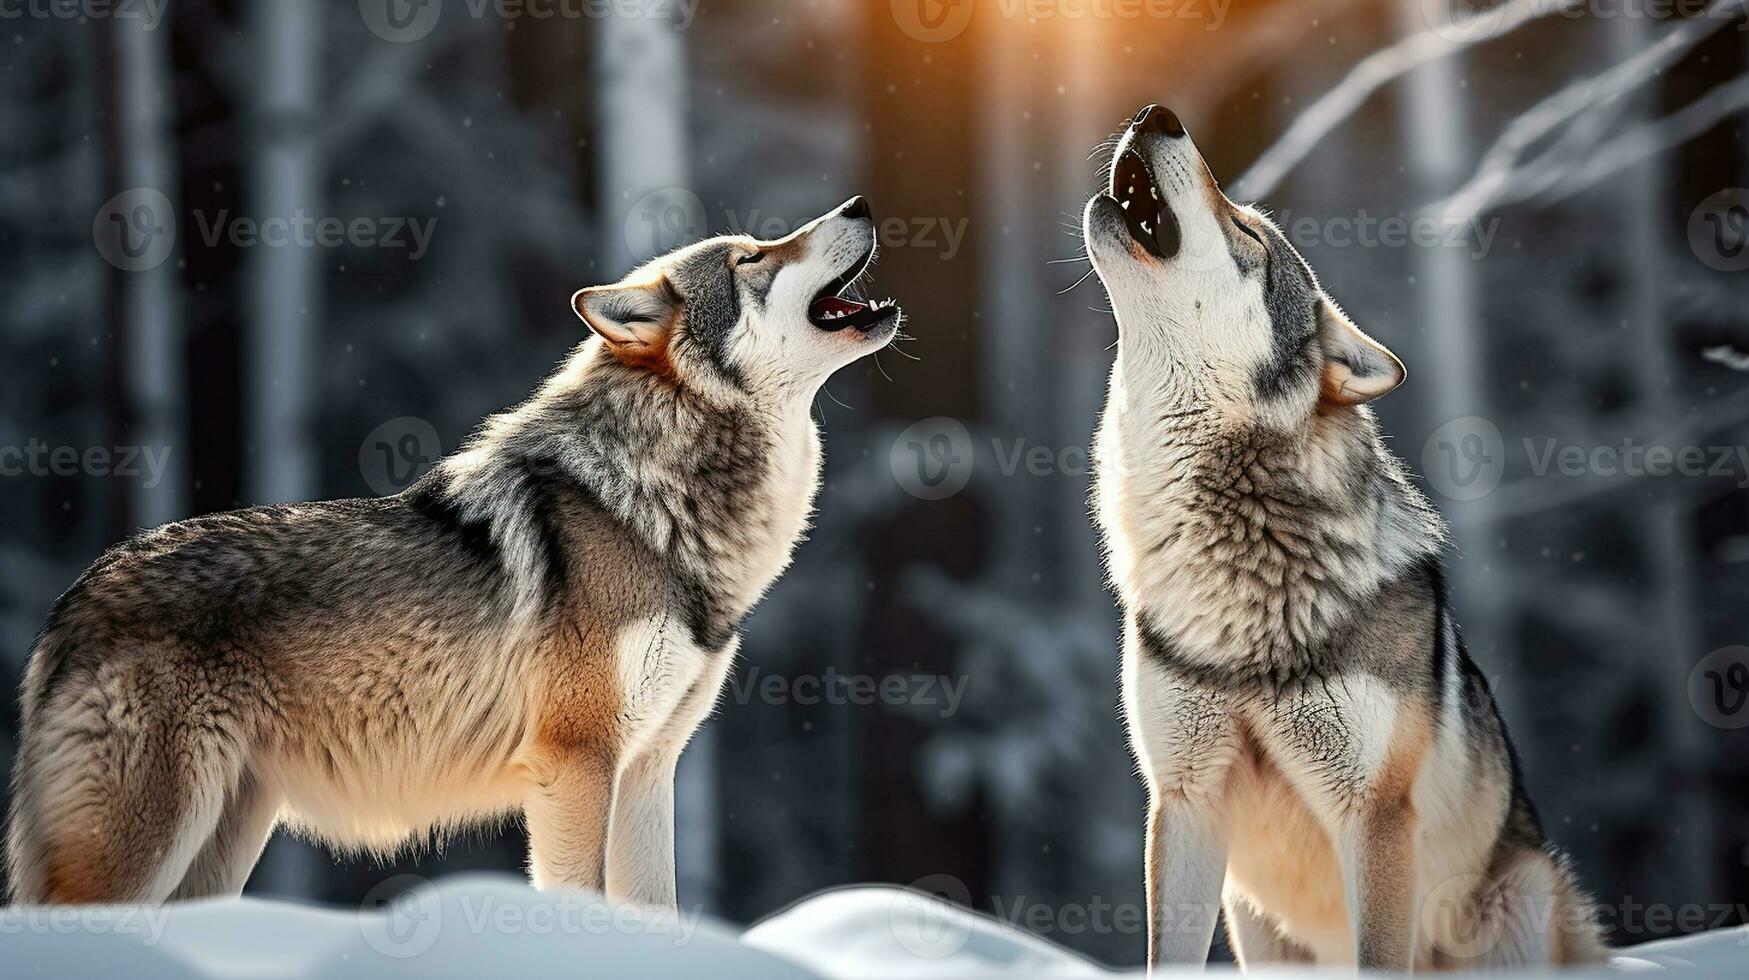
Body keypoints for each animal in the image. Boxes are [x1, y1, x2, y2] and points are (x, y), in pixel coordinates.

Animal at [13, 195, 909, 910]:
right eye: (752, 257)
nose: (861, 203)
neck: (652, 502)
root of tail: (73, 599)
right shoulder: (574, 763)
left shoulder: (648, 770)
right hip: (145, 841)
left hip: (228, 835)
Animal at [1084, 107, 1602, 973]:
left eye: (1248, 236)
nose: (1157, 115)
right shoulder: (1184, 800)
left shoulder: (1375, 813)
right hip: (1253, 922)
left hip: (1521, 896)